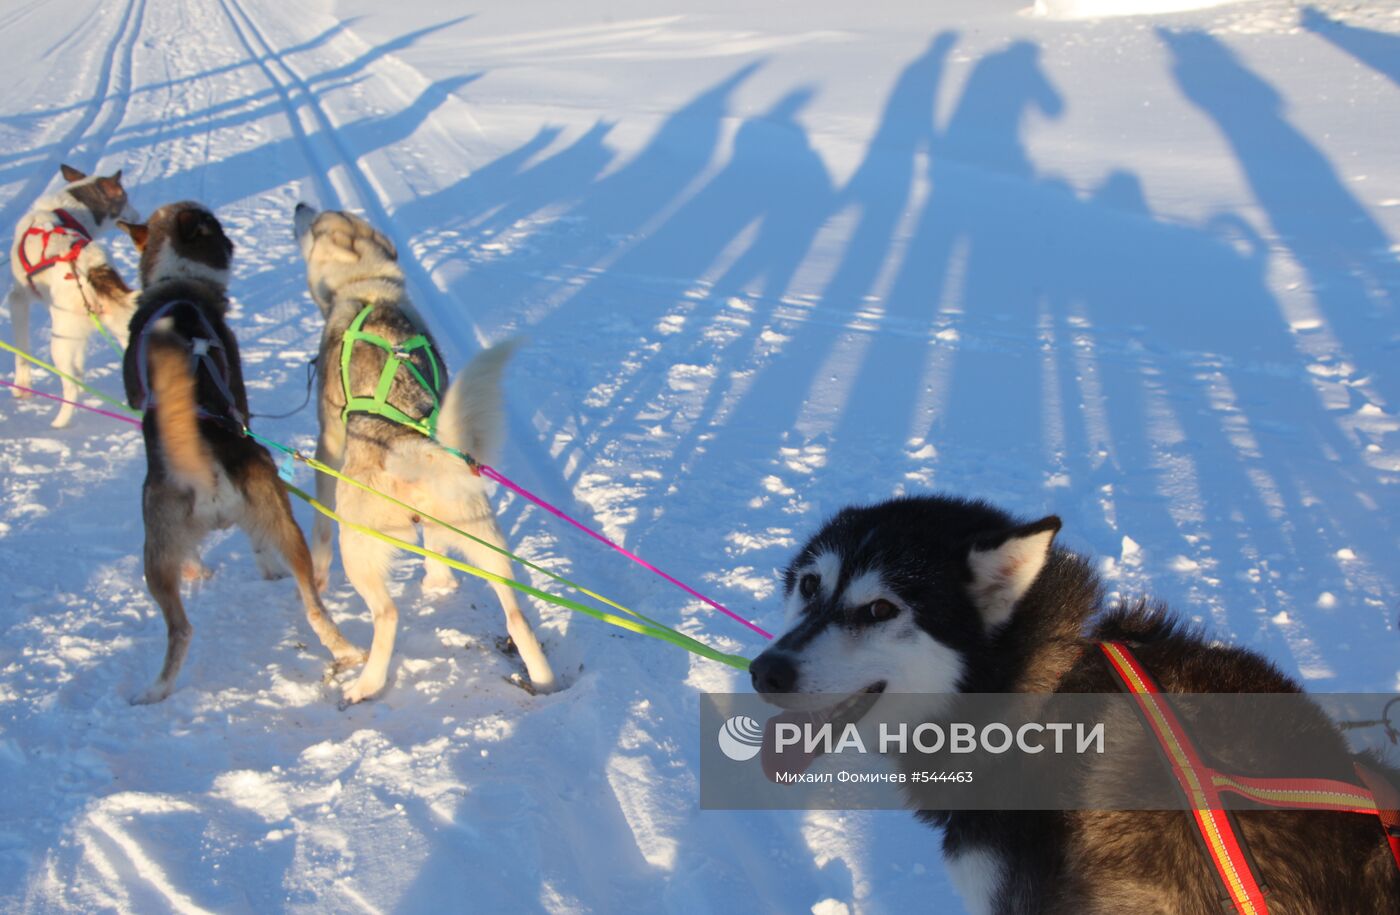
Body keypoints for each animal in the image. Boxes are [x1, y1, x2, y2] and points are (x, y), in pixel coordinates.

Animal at [7, 165, 140, 430]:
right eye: (126, 199)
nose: (139, 215)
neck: (65, 208)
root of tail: (94, 270)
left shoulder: (18, 300)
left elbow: (22, 353)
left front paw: (22, 386)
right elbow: (79, 367)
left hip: (60, 341)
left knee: (70, 390)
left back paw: (59, 423)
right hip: (121, 331)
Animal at [118, 198, 361, 702]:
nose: (231, 242)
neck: (177, 284)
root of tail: (204, 460)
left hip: (157, 550)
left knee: (184, 627)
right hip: (270, 527)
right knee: (308, 605)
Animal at [292, 202, 554, 702]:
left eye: (316, 226)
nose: (299, 206)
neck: (366, 284)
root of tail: (408, 446)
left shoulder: (327, 445)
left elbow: (318, 527)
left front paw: (317, 571)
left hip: (358, 547)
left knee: (387, 615)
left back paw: (367, 684)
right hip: (486, 541)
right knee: (515, 616)